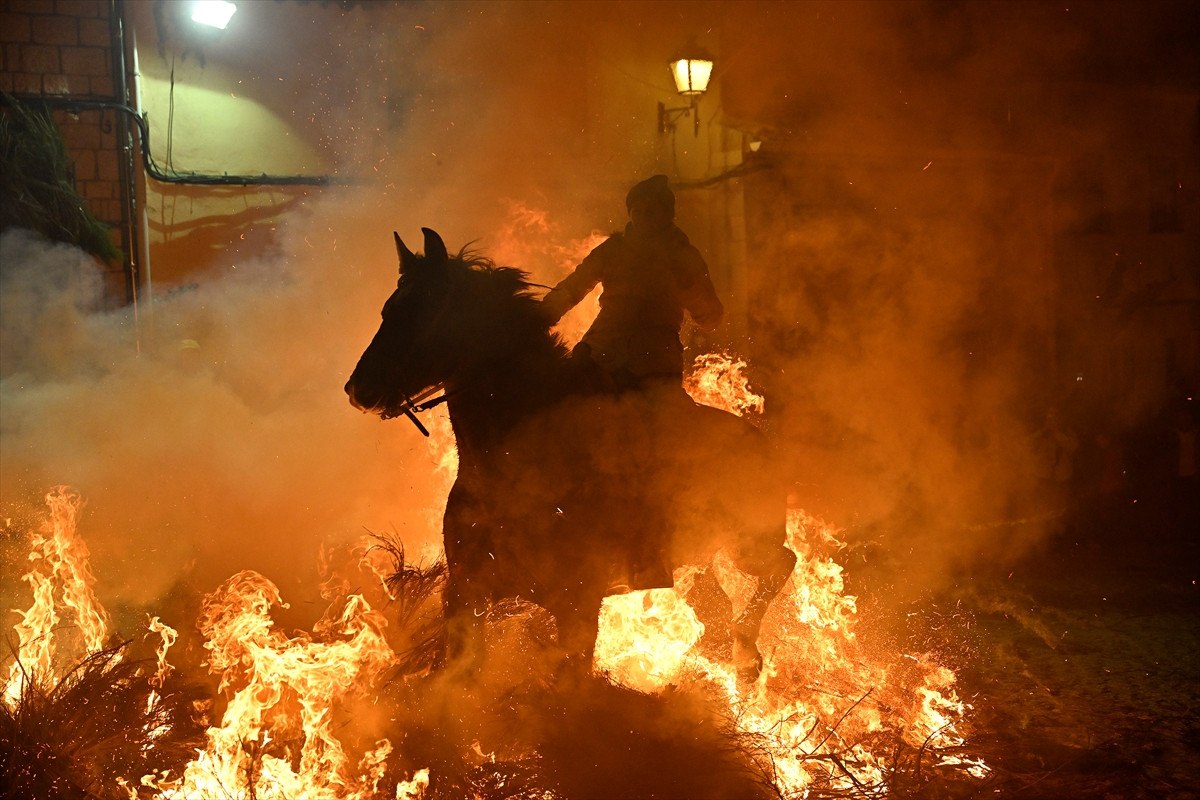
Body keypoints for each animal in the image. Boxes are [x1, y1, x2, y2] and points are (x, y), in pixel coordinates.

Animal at [348, 227, 796, 681]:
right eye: (389, 308)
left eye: (421, 307)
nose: (357, 389)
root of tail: (761, 442)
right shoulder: (465, 593)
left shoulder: (577, 604)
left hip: (748, 543)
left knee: (784, 562)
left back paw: (746, 654)